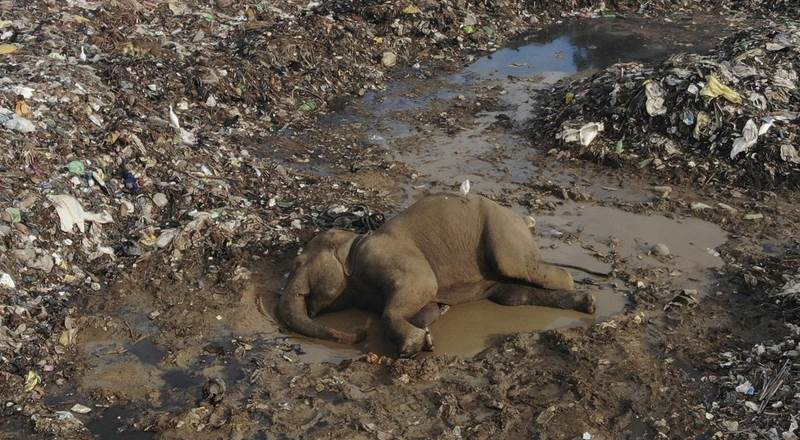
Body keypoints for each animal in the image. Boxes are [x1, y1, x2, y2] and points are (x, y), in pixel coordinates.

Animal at [278, 191, 596, 356]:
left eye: (297, 263)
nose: (359, 332)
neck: (354, 241)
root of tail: (522, 219)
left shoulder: (386, 255)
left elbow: (422, 286)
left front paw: (416, 345)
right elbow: (424, 304)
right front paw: (431, 324)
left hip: (503, 231)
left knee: (520, 266)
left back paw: (578, 290)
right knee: (512, 295)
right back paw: (586, 302)